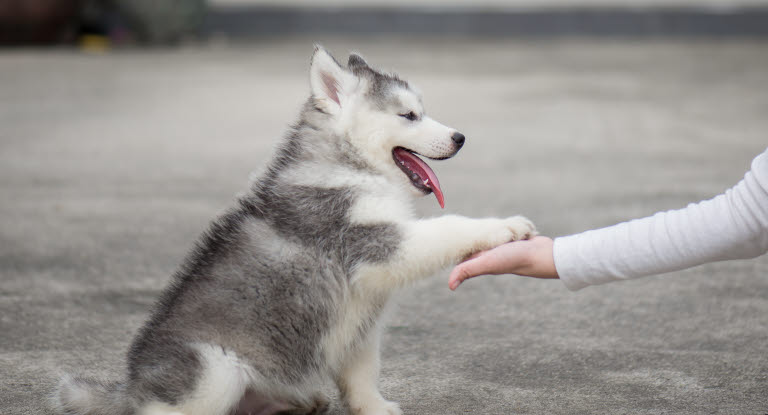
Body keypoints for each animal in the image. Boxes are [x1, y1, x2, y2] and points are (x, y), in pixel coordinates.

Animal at [52, 47, 536, 415]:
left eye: (422, 111)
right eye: (409, 115)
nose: (460, 138)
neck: (349, 165)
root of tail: (131, 387)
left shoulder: (361, 320)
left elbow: (362, 373)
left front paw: (374, 408)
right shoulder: (372, 243)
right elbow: (448, 227)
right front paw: (504, 226)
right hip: (213, 370)